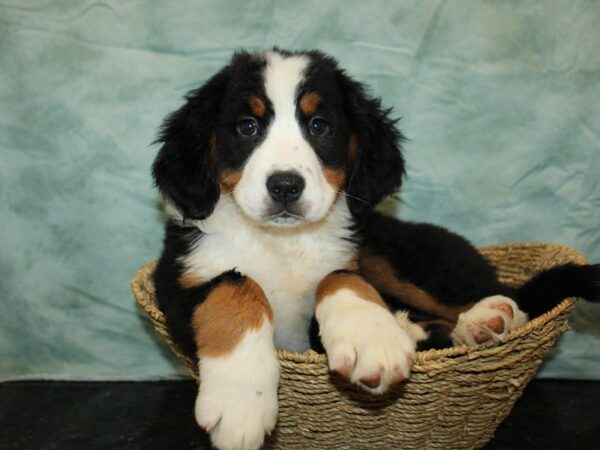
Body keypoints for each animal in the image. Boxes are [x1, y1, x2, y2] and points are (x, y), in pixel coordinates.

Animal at [151, 48, 600, 450]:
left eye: (319, 126)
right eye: (247, 127)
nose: (285, 186)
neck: (283, 242)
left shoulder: (347, 266)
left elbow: (336, 277)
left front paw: (371, 339)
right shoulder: (175, 285)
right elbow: (237, 286)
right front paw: (241, 402)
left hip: (393, 251)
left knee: (499, 296)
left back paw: (486, 317)